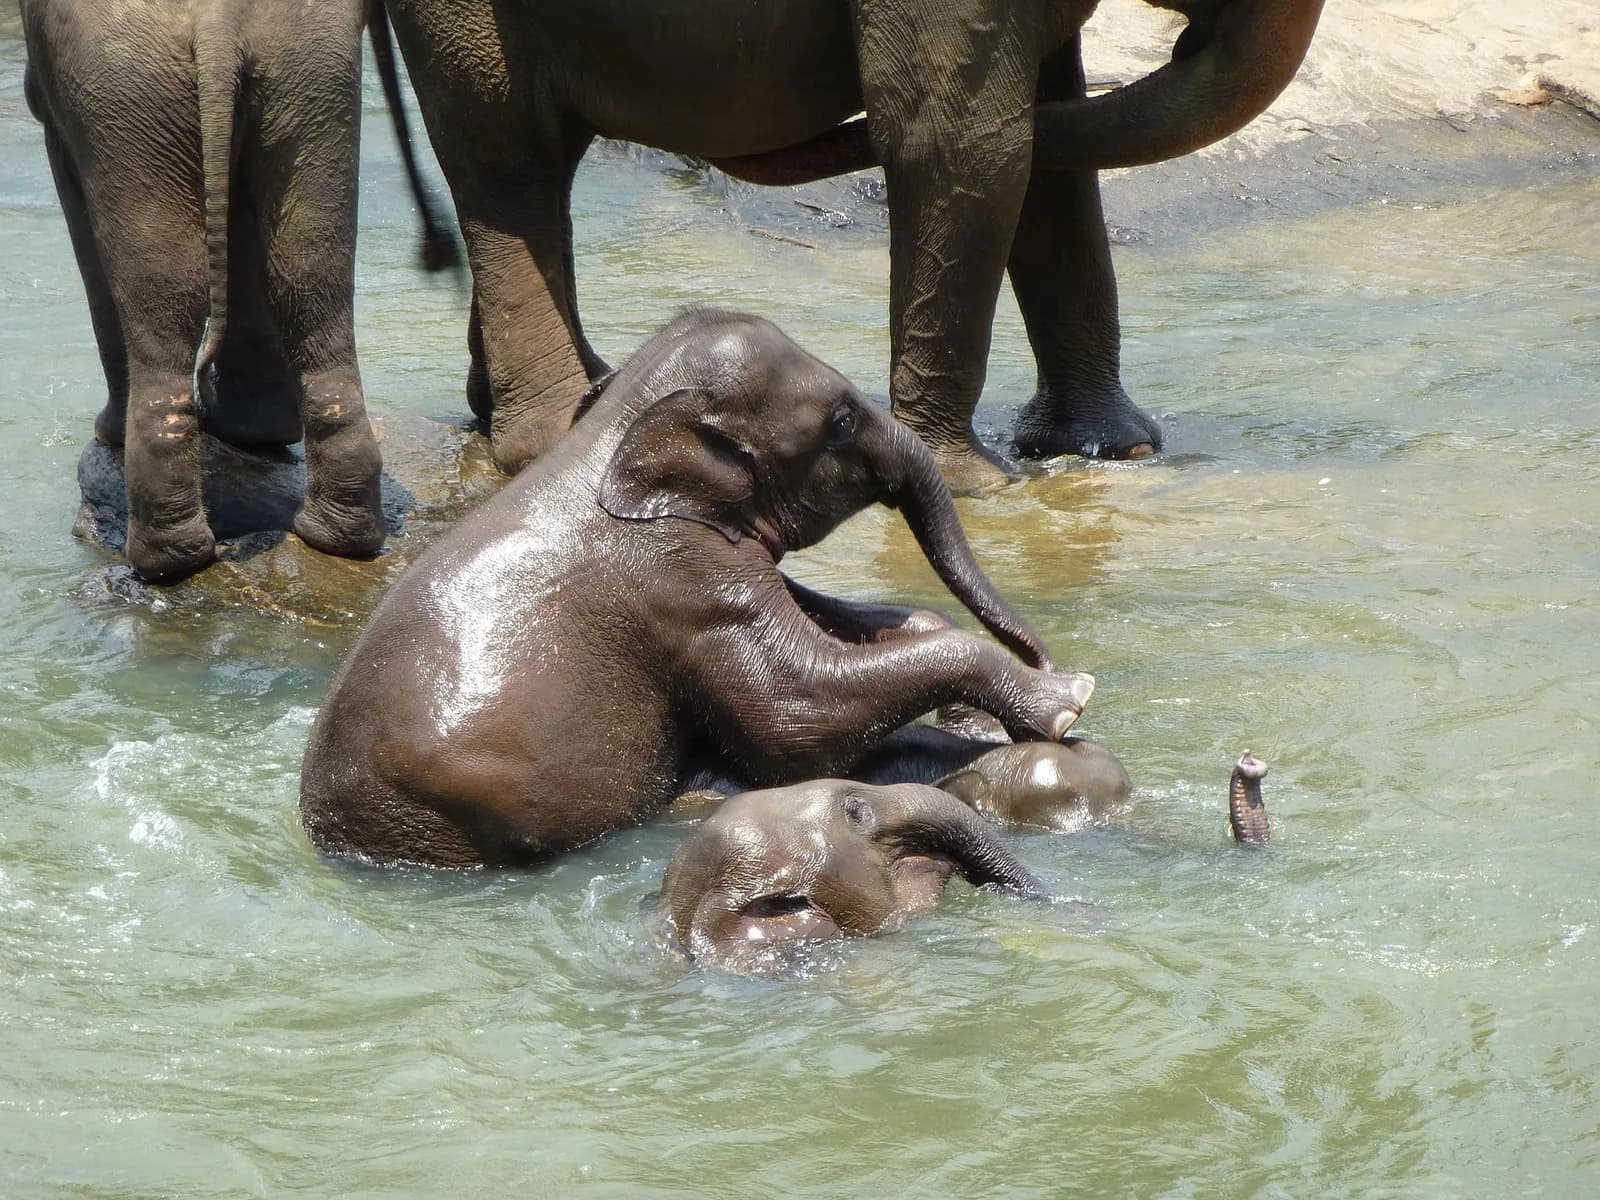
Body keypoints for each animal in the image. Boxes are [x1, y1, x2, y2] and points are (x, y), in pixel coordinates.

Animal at [22, 0, 457, 582]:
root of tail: (219, 22)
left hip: (126, 88)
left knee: (168, 299)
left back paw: (164, 561)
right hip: (309, 74)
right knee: (307, 278)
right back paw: (333, 533)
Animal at [299, 308, 1097, 869]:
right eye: (840, 423)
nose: (1046, 655)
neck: (612, 433)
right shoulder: (679, 581)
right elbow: (795, 717)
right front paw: (1066, 700)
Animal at [379, 0, 1324, 492]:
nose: (1189, 35)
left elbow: (1048, 143)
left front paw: (1112, 450)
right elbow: (964, 142)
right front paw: (974, 481)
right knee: (508, 155)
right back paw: (553, 435)